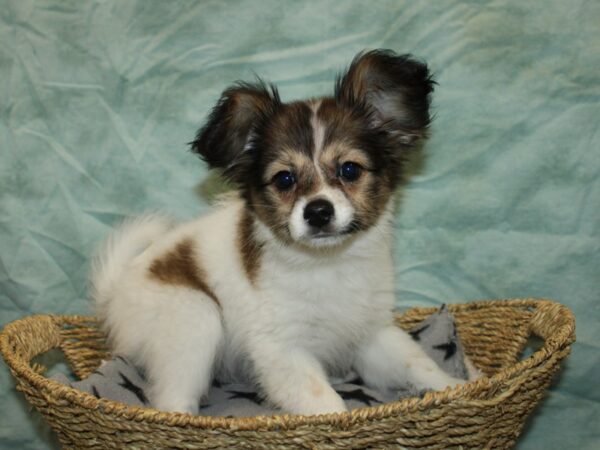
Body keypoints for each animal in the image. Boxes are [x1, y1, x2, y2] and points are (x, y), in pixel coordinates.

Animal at [91, 49, 472, 414]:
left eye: (349, 170)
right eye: (285, 179)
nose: (318, 211)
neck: (328, 264)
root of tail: (117, 287)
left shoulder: (371, 334)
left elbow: (417, 364)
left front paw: (458, 387)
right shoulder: (282, 349)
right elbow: (326, 404)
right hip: (196, 317)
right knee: (171, 401)